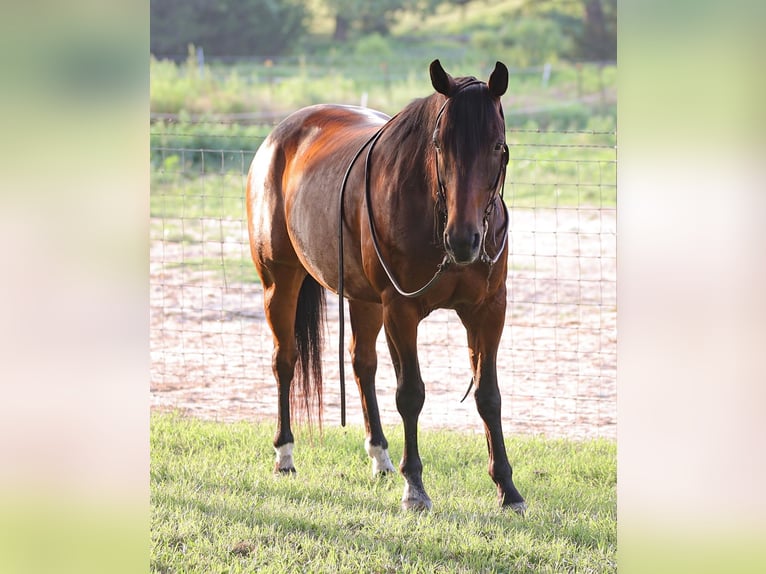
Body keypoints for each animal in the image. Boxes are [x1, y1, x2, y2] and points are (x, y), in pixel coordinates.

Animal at [249, 58, 524, 516]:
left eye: (497, 146)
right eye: (440, 145)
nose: (463, 240)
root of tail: (278, 138)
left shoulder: (487, 311)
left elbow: (489, 396)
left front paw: (508, 488)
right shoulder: (401, 310)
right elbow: (410, 393)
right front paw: (415, 488)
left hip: (364, 301)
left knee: (362, 364)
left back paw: (380, 456)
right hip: (280, 281)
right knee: (284, 361)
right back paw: (285, 454)